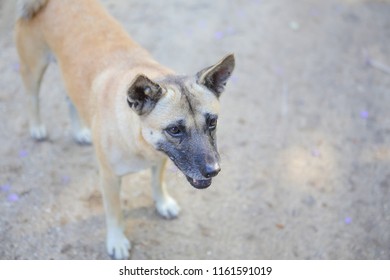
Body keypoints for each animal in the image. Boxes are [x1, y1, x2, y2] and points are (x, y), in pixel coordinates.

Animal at [13, 0, 235, 260]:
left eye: (212, 122)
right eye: (174, 130)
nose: (214, 170)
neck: (138, 138)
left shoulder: (160, 160)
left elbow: (156, 183)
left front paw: (162, 203)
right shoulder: (109, 178)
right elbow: (115, 212)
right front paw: (117, 240)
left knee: (69, 99)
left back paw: (79, 131)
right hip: (33, 68)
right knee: (32, 97)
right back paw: (37, 127)